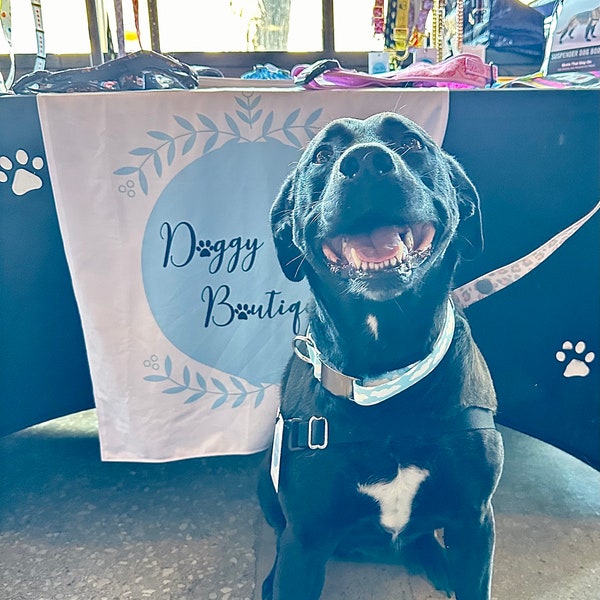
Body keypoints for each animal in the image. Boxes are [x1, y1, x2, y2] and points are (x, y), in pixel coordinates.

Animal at [260, 112, 504, 600]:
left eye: (411, 144)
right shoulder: (306, 537)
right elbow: (292, 547)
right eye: (322, 155)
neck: (385, 379)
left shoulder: (475, 523)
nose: (367, 164)